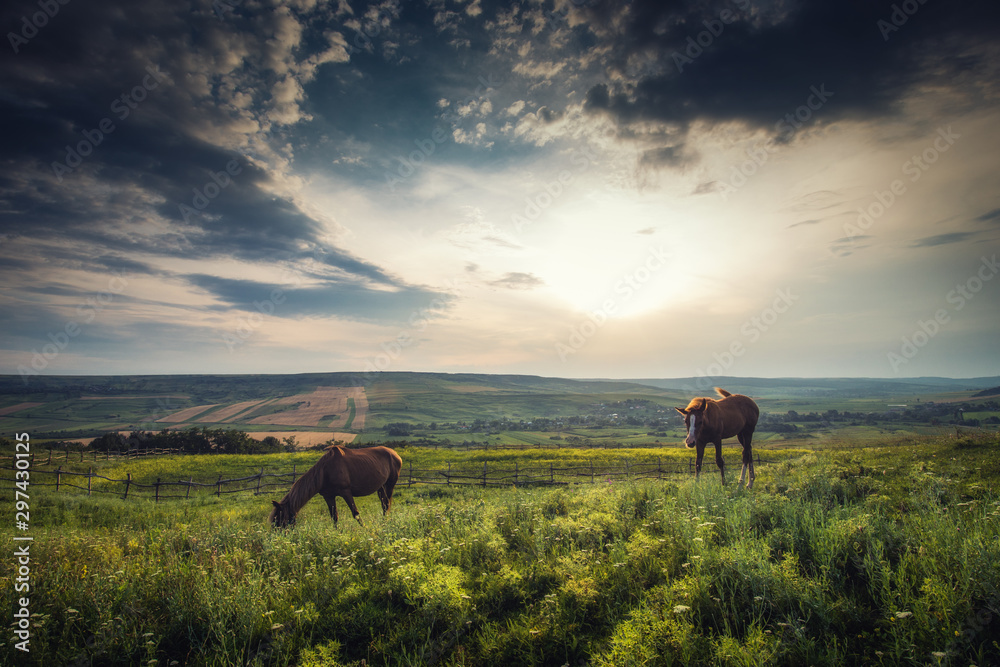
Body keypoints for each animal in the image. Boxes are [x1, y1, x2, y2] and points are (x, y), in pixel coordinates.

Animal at [269, 445, 402, 527]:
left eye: (279, 520)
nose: (279, 538)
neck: (324, 472)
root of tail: (395, 454)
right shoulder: (328, 496)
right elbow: (334, 517)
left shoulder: (346, 492)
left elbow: (356, 513)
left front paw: (366, 529)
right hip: (381, 487)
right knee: (383, 504)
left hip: (390, 484)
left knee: (386, 504)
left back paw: (385, 523)